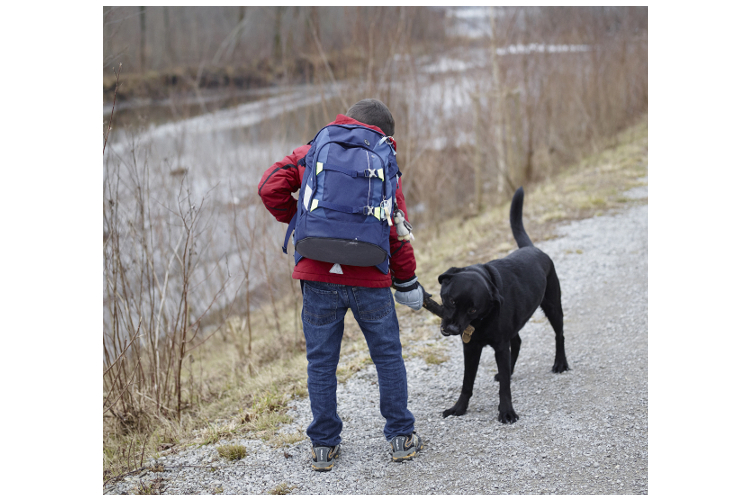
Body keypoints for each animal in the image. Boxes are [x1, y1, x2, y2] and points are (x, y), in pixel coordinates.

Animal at [440, 187, 568, 422]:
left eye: (473, 308)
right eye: (451, 300)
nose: (452, 328)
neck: (480, 321)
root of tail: (532, 248)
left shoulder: (499, 346)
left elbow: (505, 388)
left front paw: (507, 411)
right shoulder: (470, 347)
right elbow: (467, 383)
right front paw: (458, 408)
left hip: (553, 307)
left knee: (559, 335)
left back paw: (560, 364)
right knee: (517, 342)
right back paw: (506, 371)